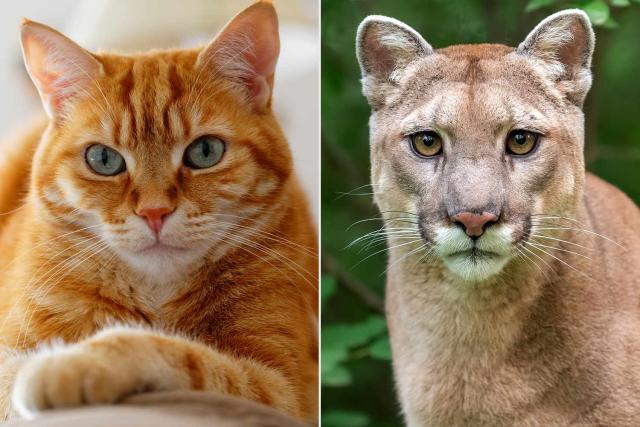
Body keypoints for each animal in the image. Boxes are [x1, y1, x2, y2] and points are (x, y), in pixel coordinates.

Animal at [0, 0, 318, 422]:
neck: (156, 298)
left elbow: (178, 353)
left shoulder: (282, 388)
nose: (154, 212)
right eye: (103, 159)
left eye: (205, 152)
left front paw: (67, 364)